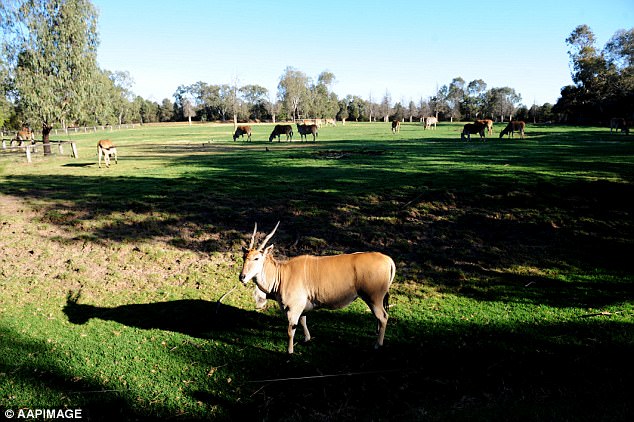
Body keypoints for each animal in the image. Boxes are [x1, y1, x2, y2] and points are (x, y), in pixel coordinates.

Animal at [238, 223, 396, 354]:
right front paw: (307, 339)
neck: (282, 273)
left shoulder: (293, 307)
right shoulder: (301, 307)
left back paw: (377, 344)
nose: (242, 277)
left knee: (383, 316)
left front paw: (290, 351)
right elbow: (303, 321)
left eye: (257, 258)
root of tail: (388, 259)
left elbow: (291, 330)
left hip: (373, 297)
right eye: (244, 257)